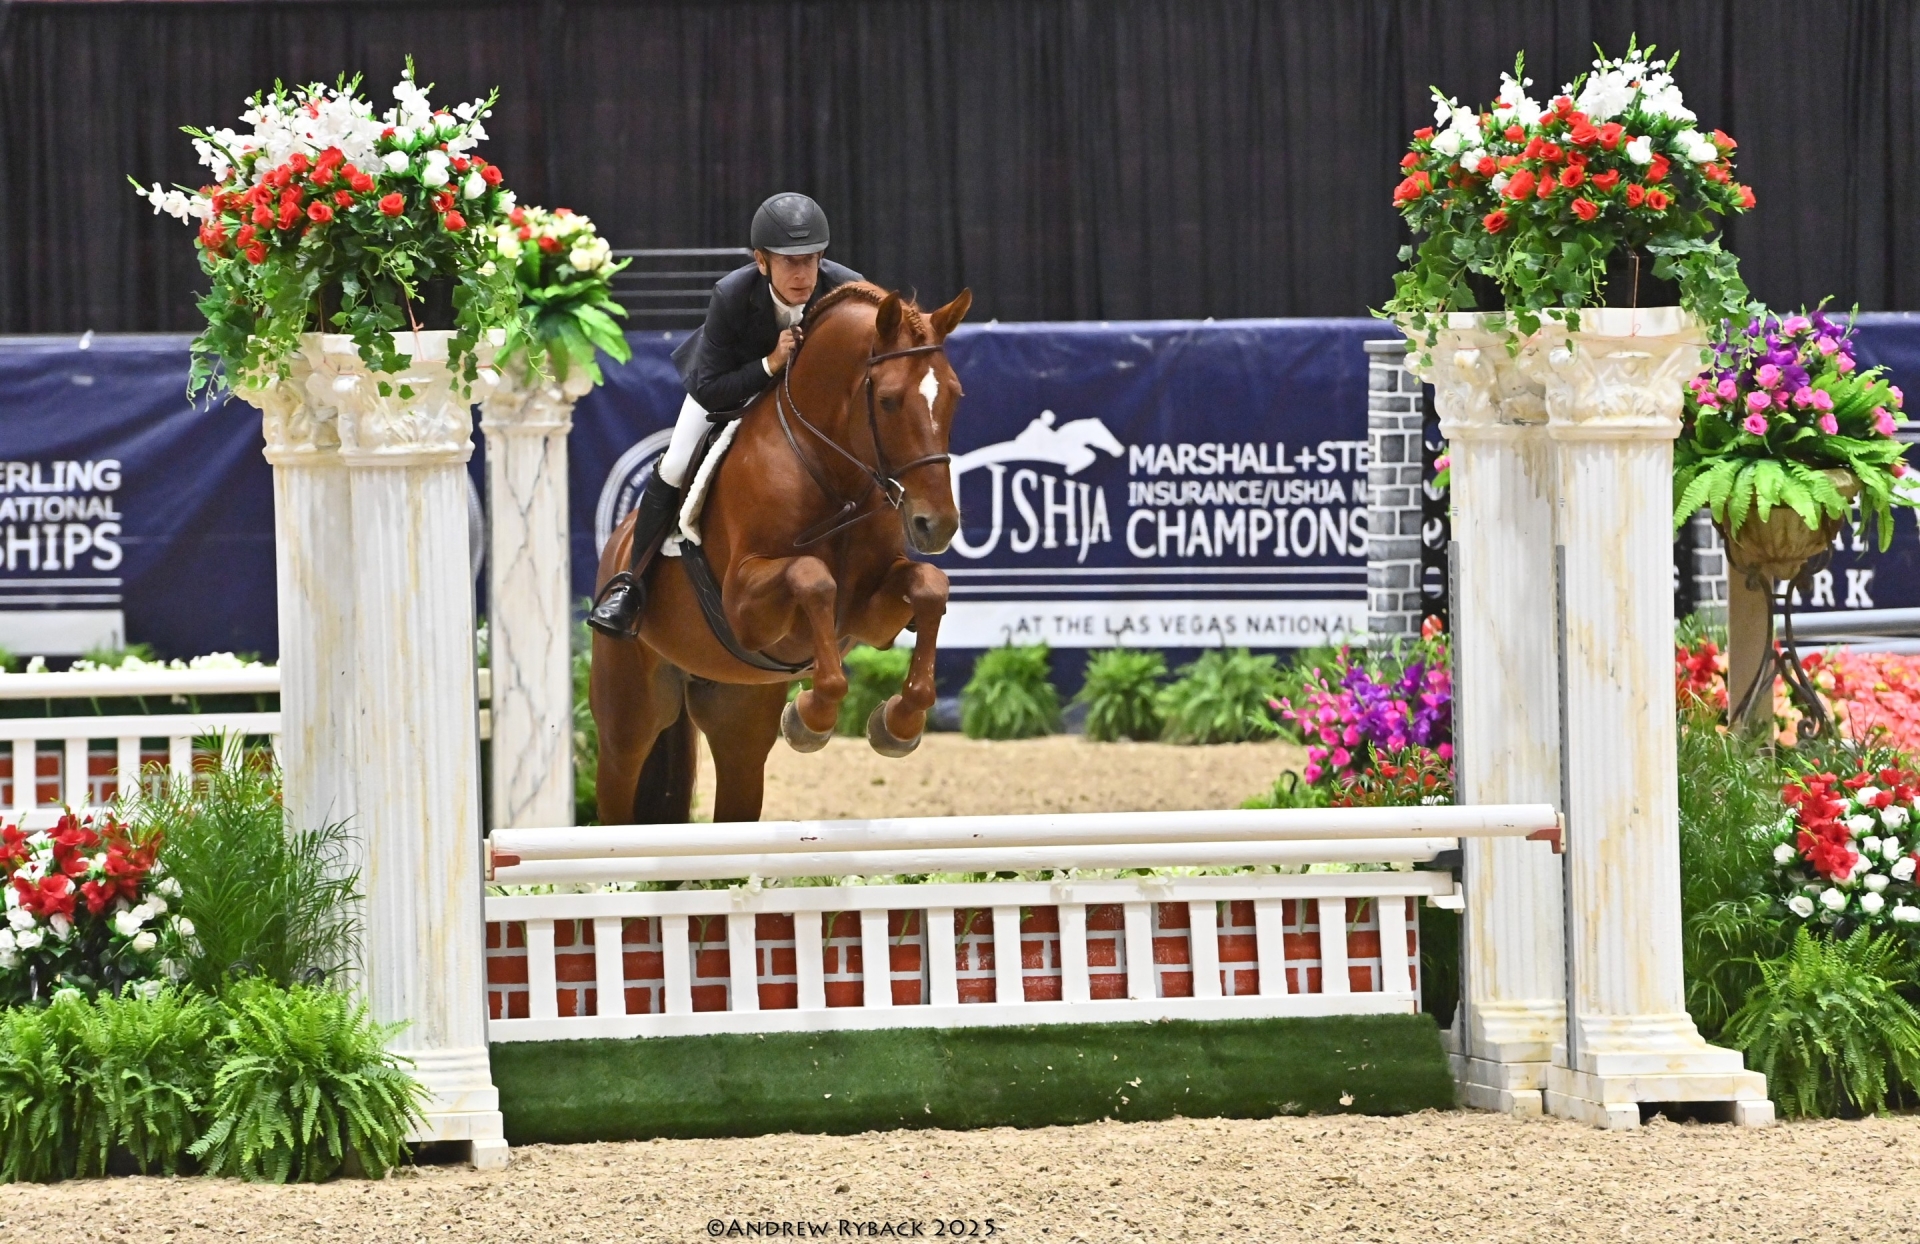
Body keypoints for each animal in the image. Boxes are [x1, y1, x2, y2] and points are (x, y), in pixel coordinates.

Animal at [589, 283, 972, 824]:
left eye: (955, 396)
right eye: (889, 401)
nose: (935, 524)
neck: (833, 472)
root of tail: (619, 544)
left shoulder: (868, 617)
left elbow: (929, 587)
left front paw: (897, 724)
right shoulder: (742, 608)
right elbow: (812, 577)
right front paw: (811, 718)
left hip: (739, 722)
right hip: (627, 724)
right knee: (620, 785)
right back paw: (619, 605)